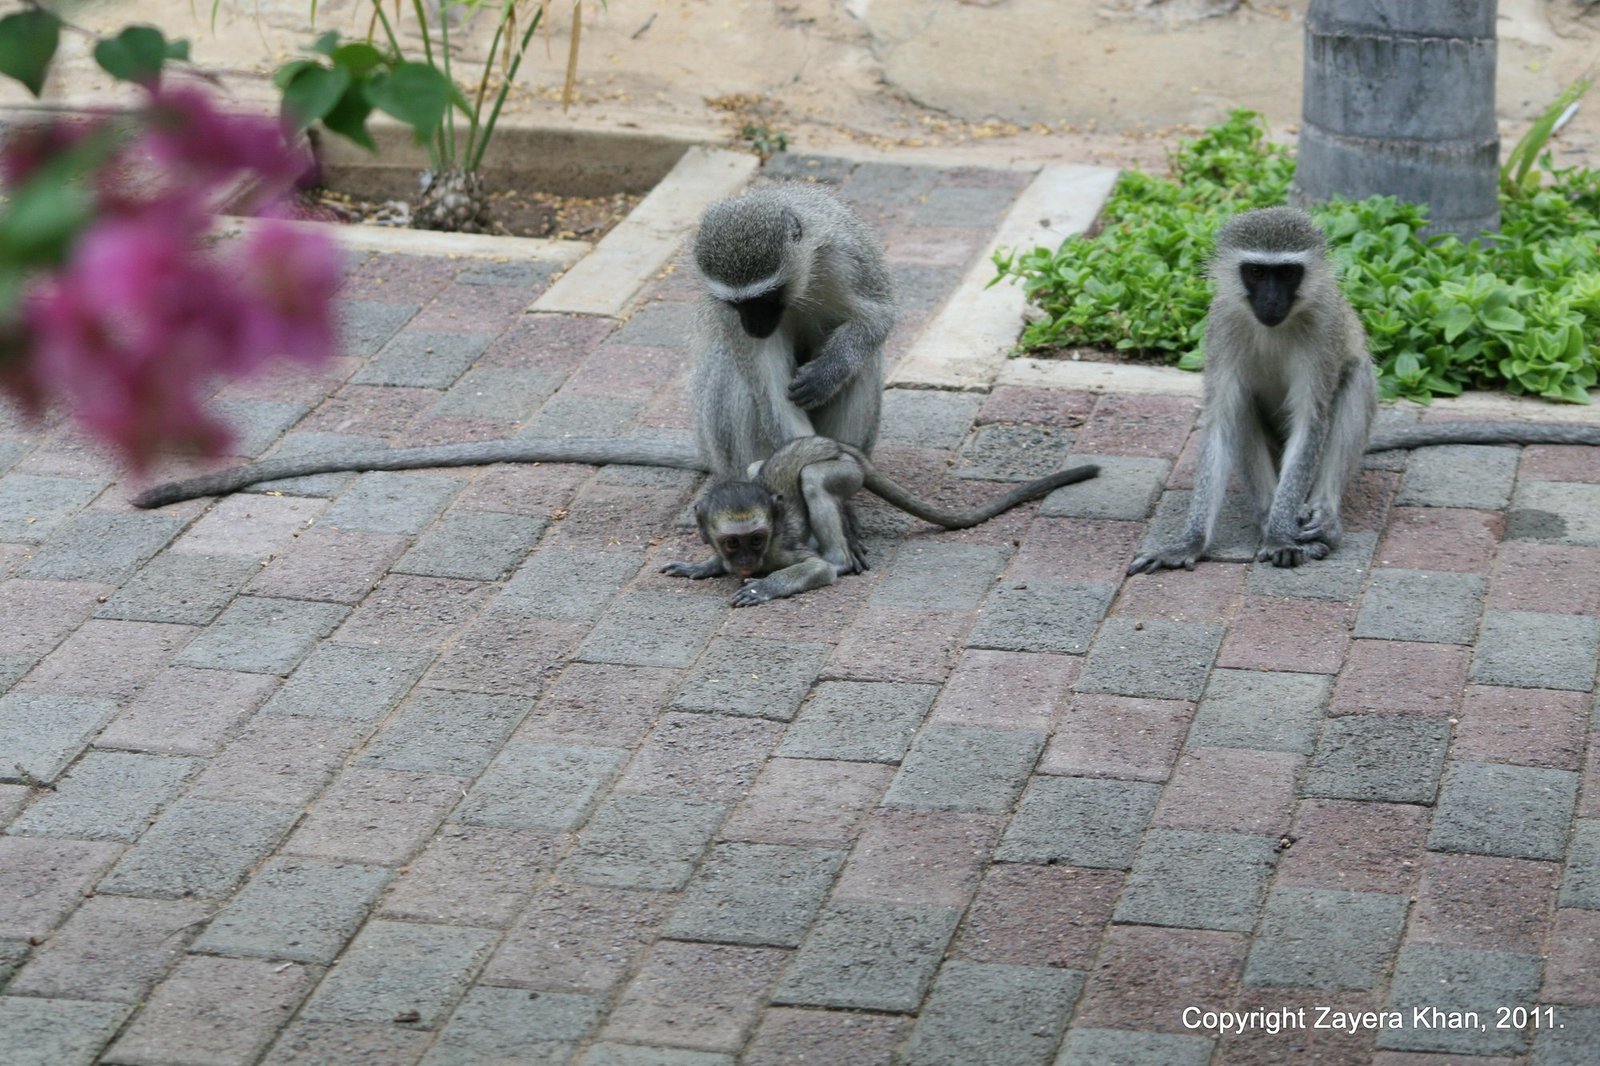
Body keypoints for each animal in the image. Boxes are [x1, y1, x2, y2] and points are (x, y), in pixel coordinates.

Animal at [663, 435, 1099, 606]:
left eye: (756, 539)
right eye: (732, 542)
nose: (745, 562)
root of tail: (843, 449)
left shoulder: (780, 552)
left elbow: (816, 569)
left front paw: (763, 588)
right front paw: (705, 565)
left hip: (843, 473)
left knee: (813, 479)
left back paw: (842, 553)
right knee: (757, 466)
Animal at [1128, 205, 1600, 575]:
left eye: (1287, 273)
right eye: (1257, 272)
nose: (1271, 303)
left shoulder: (1322, 328)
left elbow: (1313, 420)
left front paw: (1281, 535)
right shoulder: (1222, 325)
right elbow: (1223, 421)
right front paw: (1190, 542)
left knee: (1355, 377)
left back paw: (1323, 520)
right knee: (1243, 405)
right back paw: (1267, 516)